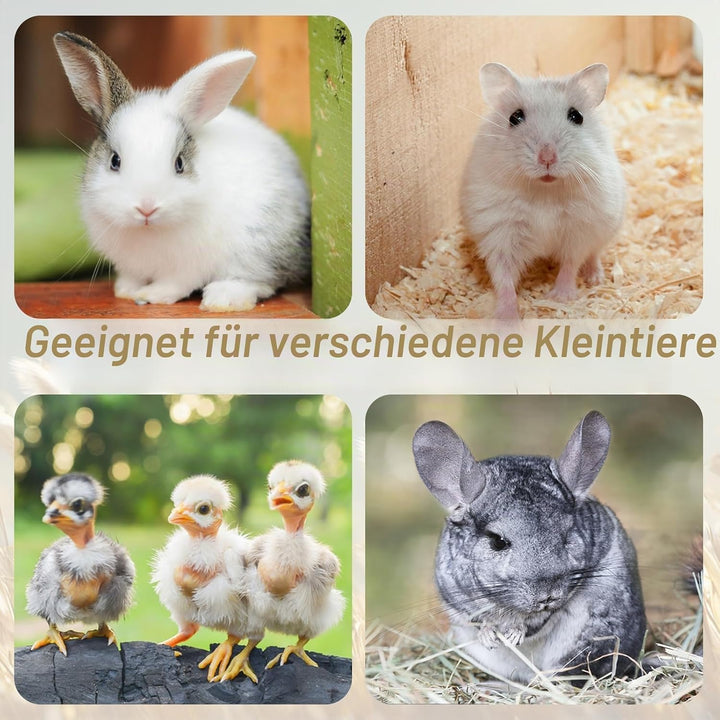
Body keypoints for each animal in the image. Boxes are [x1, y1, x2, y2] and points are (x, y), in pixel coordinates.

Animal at [53, 31, 311, 311]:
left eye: (179, 164)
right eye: (114, 160)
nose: (146, 208)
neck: (149, 230)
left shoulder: (188, 267)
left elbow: (176, 284)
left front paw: (151, 295)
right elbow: (132, 276)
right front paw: (125, 291)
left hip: (258, 245)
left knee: (261, 280)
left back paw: (222, 299)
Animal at [412, 411, 646, 683]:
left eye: (567, 535)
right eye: (498, 541)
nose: (547, 596)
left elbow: (534, 621)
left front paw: (514, 634)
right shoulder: (456, 596)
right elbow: (479, 620)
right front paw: (490, 635)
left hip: (587, 640)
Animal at [460, 63, 625, 320]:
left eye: (576, 116)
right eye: (515, 117)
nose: (547, 157)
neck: (545, 191)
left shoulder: (579, 229)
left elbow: (570, 263)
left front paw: (561, 297)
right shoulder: (501, 233)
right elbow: (503, 278)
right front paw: (507, 318)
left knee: (593, 254)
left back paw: (595, 278)